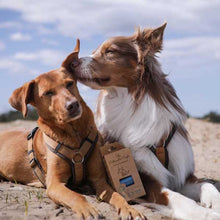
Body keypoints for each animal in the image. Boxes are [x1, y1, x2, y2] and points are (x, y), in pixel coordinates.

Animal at [0, 40, 146, 220]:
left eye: (70, 83)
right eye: (48, 93)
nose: (73, 105)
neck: (74, 134)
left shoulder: (99, 180)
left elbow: (118, 195)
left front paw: (130, 209)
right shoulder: (55, 184)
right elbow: (75, 196)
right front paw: (87, 209)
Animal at [72, 23, 220, 219]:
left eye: (110, 51)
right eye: (94, 51)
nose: (72, 63)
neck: (130, 99)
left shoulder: (182, 174)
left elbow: (208, 184)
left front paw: (214, 203)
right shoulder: (145, 180)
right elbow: (181, 199)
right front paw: (208, 214)